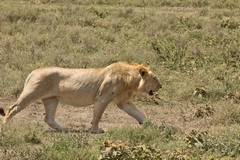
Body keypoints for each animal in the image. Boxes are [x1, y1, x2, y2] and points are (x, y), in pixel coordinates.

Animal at [0, 62, 162, 133]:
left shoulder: (124, 102)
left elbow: (139, 114)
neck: (130, 81)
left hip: (51, 99)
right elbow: (97, 116)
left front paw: (152, 125)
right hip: (32, 93)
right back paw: (5, 125)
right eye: (155, 78)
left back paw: (64, 129)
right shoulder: (102, 98)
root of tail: (34, 71)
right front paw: (96, 130)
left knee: (49, 118)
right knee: (12, 108)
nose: (161, 86)